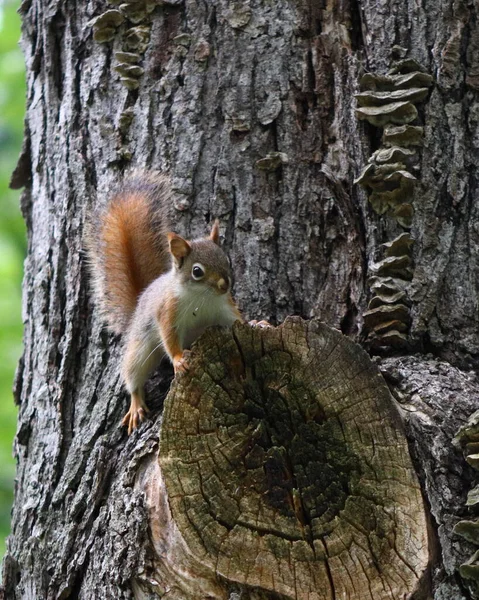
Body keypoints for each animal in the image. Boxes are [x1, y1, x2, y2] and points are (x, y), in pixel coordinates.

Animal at [86, 171, 242, 434]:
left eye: (227, 259)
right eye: (197, 271)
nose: (225, 285)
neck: (202, 298)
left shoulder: (223, 308)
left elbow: (236, 321)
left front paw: (261, 323)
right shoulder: (168, 312)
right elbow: (169, 337)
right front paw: (179, 360)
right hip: (140, 349)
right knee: (133, 375)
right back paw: (136, 404)